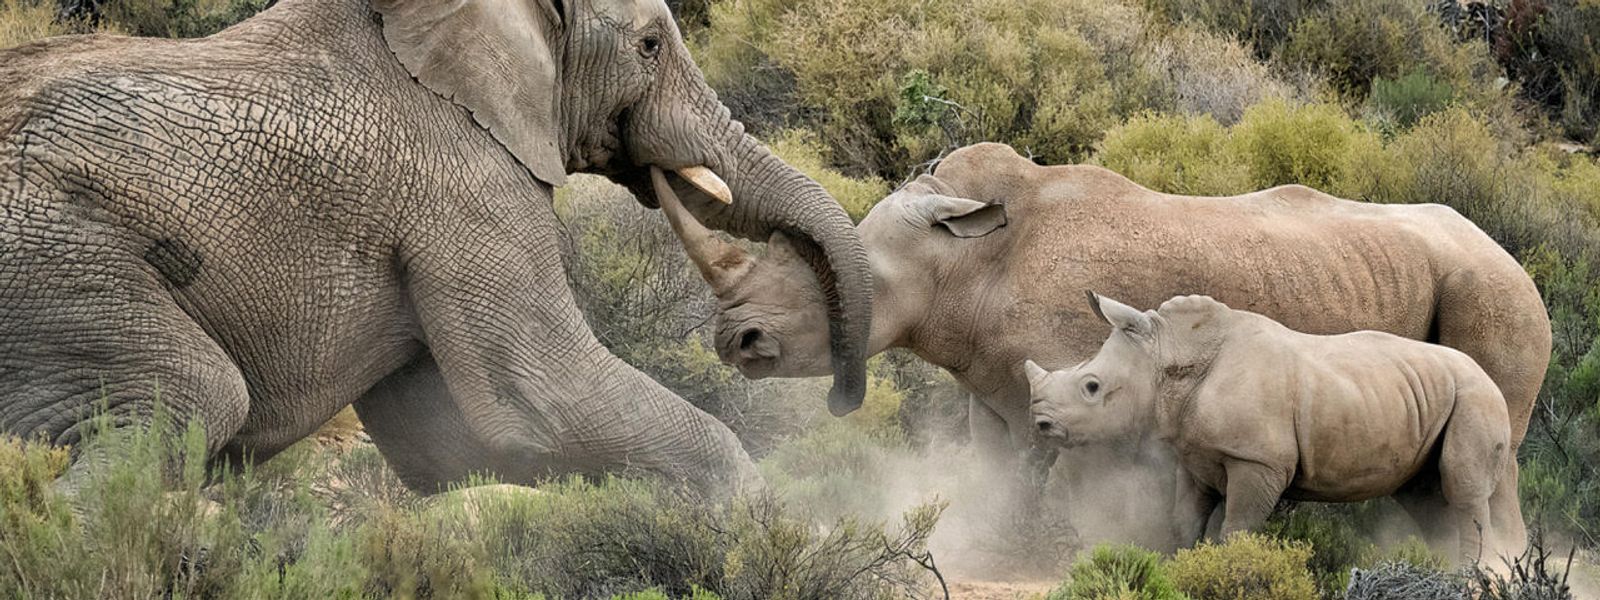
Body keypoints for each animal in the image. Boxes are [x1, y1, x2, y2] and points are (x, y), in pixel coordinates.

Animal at [0, 0, 875, 495]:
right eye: (652, 44)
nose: (842, 402)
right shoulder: (467, 185)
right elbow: (543, 403)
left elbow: (449, 445)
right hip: (48, 259)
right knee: (188, 399)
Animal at [1025, 292, 1516, 563]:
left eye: (1092, 386)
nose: (1041, 423)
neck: (1170, 356)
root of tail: (1491, 377)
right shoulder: (1193, 457)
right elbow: (1184, 522)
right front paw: (1180, 567)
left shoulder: (1258, 461)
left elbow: (1237, 527)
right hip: (1437, 396)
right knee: (1426, 497)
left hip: (1476, 397)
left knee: (1463, 490)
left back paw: (1470, 575)